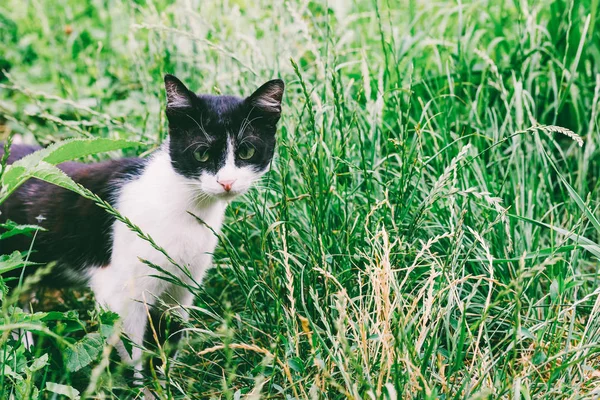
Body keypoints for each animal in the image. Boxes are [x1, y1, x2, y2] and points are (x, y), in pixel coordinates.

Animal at [0, 73, 284, 374]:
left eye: (247, 151)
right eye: (202, 154)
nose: (227, 182)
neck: (187, 208)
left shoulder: (182, 286)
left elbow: (173, 333)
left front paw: (168, 374)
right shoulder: (120, 293)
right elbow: (131, 354)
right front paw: (142, 381)